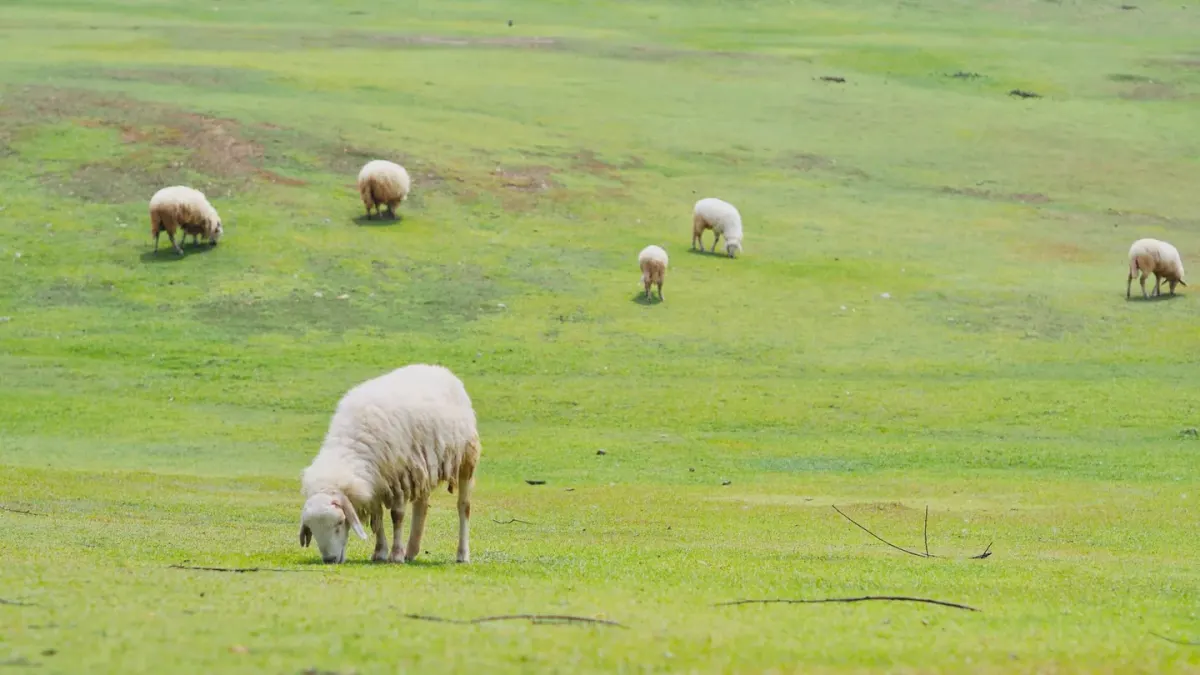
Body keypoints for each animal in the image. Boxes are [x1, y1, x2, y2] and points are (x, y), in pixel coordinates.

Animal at [298, 364, 481, 565]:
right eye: (312, 528)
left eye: (339, 522)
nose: (329, 559)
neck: (351, 448)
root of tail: (438, 368)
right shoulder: (376, 481)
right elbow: (377, 519)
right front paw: (380, 552)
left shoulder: (399, 476)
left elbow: (397, 516)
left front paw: (396, 555)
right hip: (423, 467)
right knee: (422, 505)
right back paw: (412, 550)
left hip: (465, 459)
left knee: (463, 507)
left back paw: (462, 554)